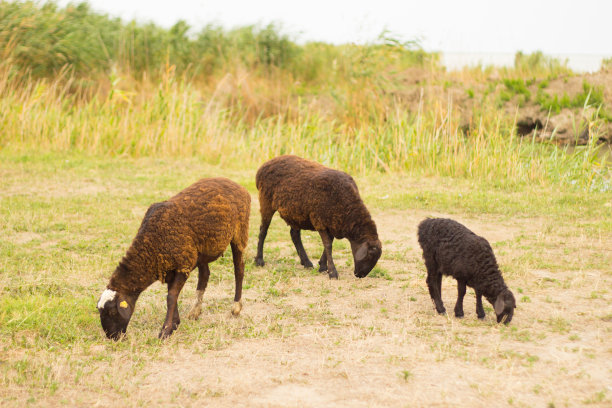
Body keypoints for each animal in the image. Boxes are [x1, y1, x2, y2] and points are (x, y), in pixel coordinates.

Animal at [97, 177, 250, 340]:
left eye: (112, 311)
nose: (112, 337)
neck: (151, 245)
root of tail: (234, 183)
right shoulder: (170, 267)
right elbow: (173, 295)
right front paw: (174, 325)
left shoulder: (183, 265)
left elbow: (171, 297)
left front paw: (165, 331)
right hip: (200, 250)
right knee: (204, 275)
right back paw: (195, 311)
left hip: (239, 234)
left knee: (239, 270)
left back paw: (236, 307)